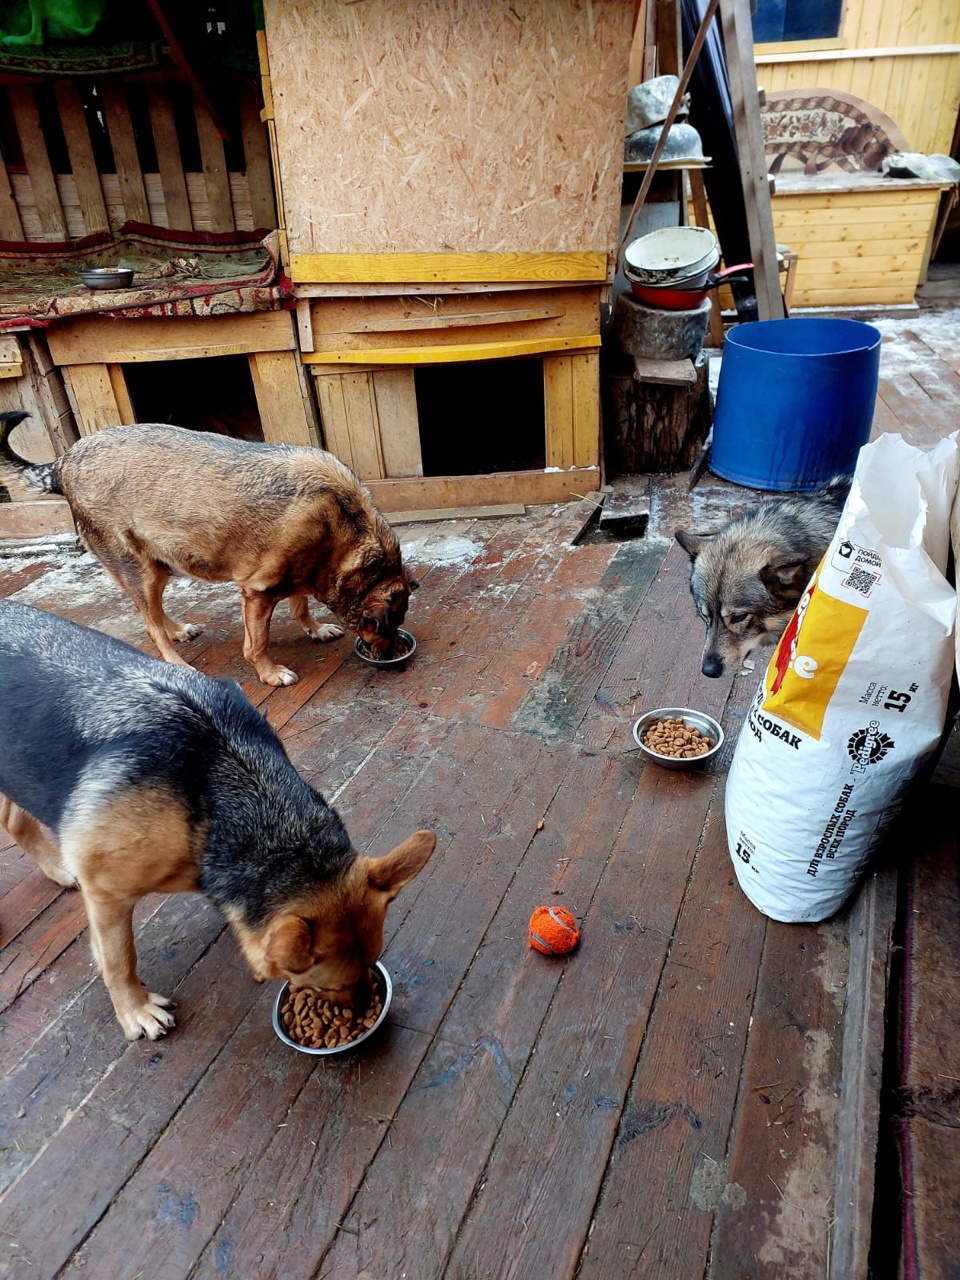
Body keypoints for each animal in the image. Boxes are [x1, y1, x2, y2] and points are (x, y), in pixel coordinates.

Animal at [0, 414, 419, 686]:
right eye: (385, 626)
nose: (390, 656)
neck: (344, 525)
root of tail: (62, 462)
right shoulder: (257, 592)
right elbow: (257, 644)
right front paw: (269, 673)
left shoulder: (300, 576)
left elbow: (300, 604)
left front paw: (314, 629)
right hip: (139, 569)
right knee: (150, 626)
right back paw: (178, 663)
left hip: (161, 564)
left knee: (154, 613)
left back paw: (178, 630)